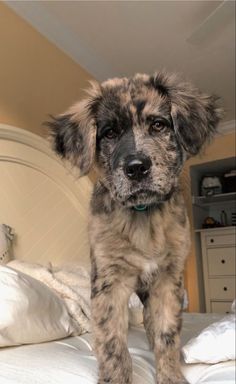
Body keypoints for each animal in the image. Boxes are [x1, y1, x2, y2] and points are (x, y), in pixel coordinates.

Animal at [47, 72, 222, 384]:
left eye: (158, 125)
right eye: (109, 133)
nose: (137, 167)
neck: (143, 217)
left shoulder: (168, 280)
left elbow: (167, 334)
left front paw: (171, 375)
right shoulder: (109, 282)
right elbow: (112, 343)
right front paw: (114, 377)